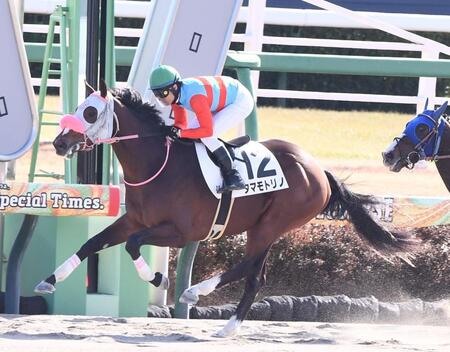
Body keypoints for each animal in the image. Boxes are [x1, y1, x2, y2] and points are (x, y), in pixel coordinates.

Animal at [37, 81, 420, 336]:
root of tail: (318, 169)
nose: (58, 143)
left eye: (89, 112)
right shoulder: (133, 220)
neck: (157, 162)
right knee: (255, 276)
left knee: (248, 267)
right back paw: (229, 326)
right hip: (265, 227)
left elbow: (132, 246)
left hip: (273, 223)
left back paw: (196, 294)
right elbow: (91, 243)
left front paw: (159, 278)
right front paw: (48, 282)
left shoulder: (179, 233)